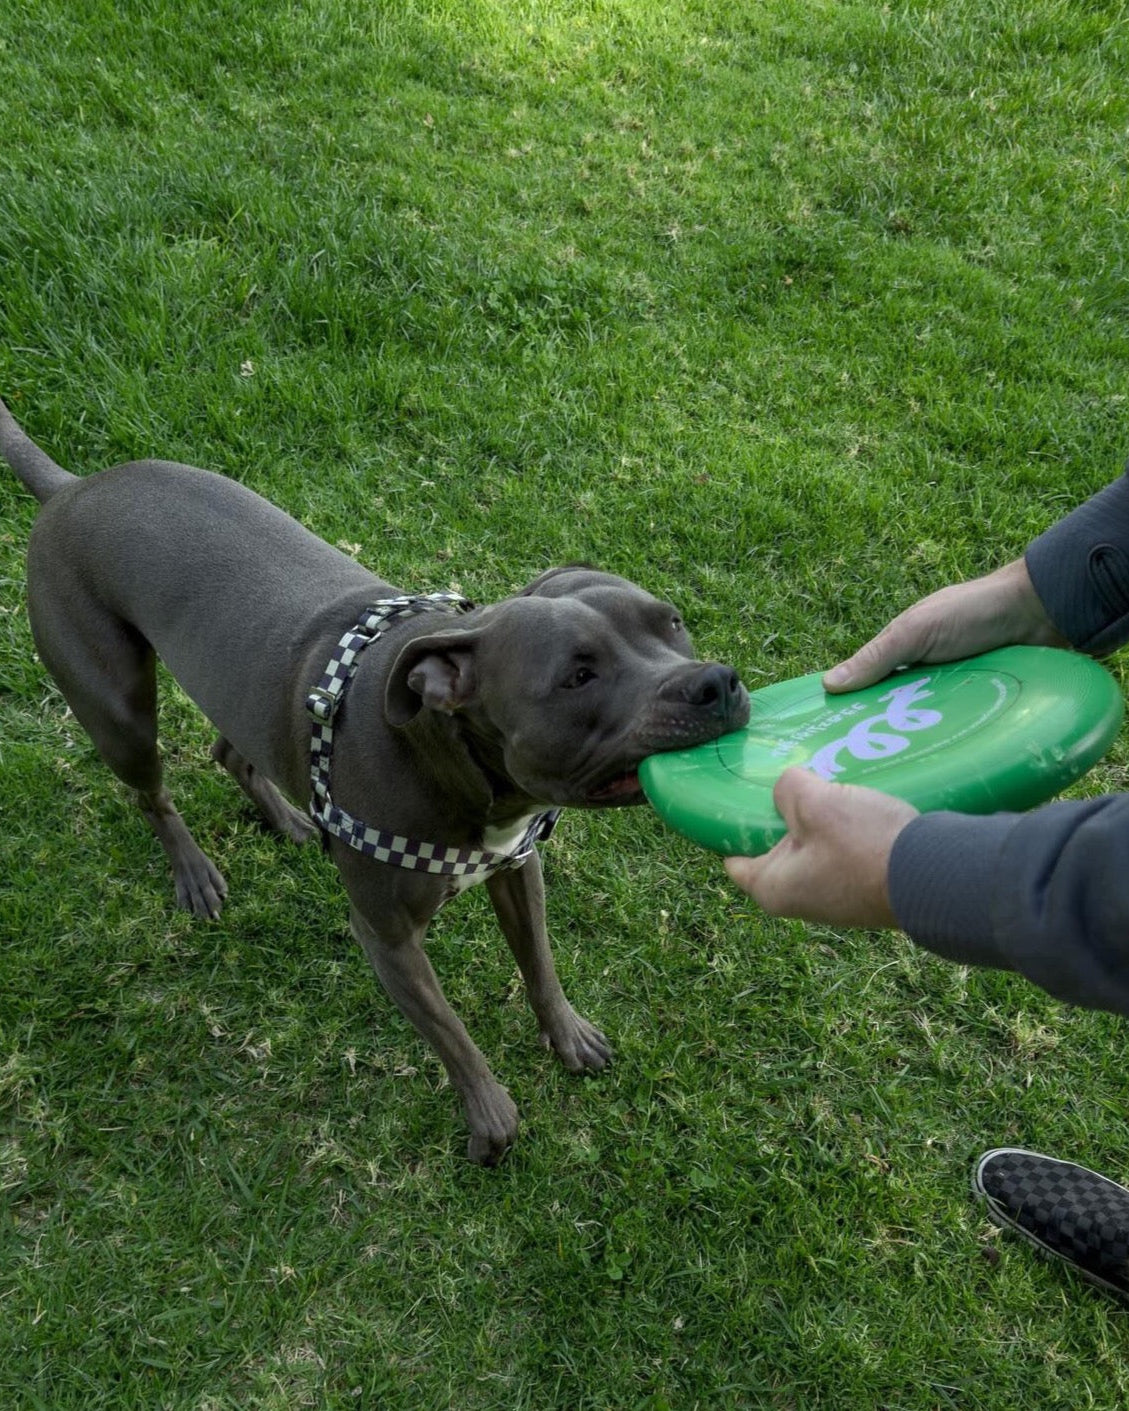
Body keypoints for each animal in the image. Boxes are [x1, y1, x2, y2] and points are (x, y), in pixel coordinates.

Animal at [6, 403, 750, 1162]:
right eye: (577, 676)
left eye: (671, 621)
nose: (715, 683)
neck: (455, 761)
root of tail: (71, 488)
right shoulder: (387, 938)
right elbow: (452, 1034)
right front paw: (490, 1118)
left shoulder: (517, 868)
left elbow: (539, 963)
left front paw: (567, 1035)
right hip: (119, 711)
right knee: (151, 793)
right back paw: (194, 872)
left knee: (231, 749)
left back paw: (291, 818)